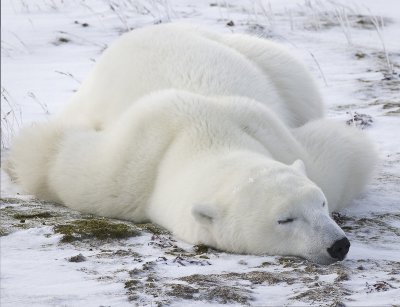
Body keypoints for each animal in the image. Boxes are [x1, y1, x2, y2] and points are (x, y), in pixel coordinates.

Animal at [4, 23, 376, 264]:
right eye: (284, 220)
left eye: (321, 203)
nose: (338, 245)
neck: (203, 132)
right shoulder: (121, 176)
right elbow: (51, 158)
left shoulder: (276, 136)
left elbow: (342, 152)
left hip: (257, 56)